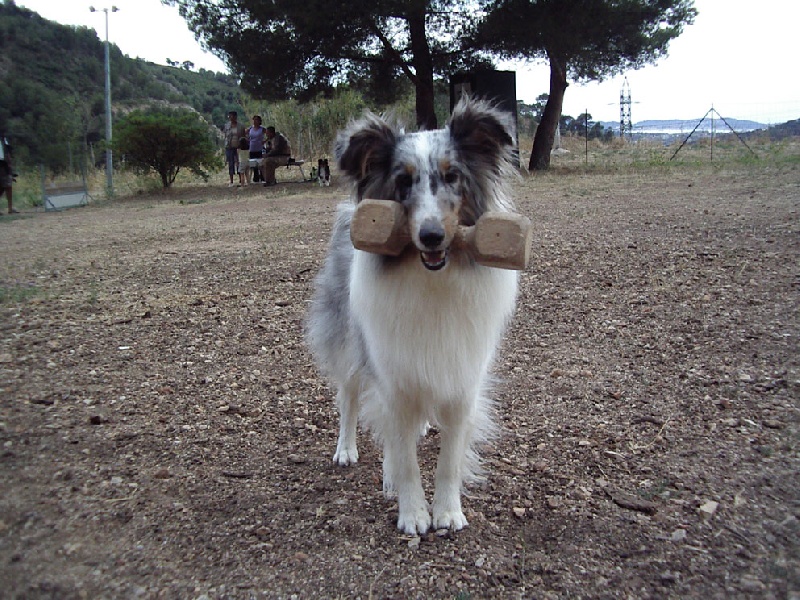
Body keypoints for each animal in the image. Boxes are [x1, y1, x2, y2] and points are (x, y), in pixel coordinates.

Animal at [306, 97, 520, 536]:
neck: (431, 279)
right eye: (403, 182)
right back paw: (346, 449)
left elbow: (449, 459)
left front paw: (448, 512)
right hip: (349, 343)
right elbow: (404, 459)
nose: (432, 237)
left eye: (452, 176)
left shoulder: (462, 377)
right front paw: (413, 514)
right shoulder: (391, 376)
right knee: (348, 398)